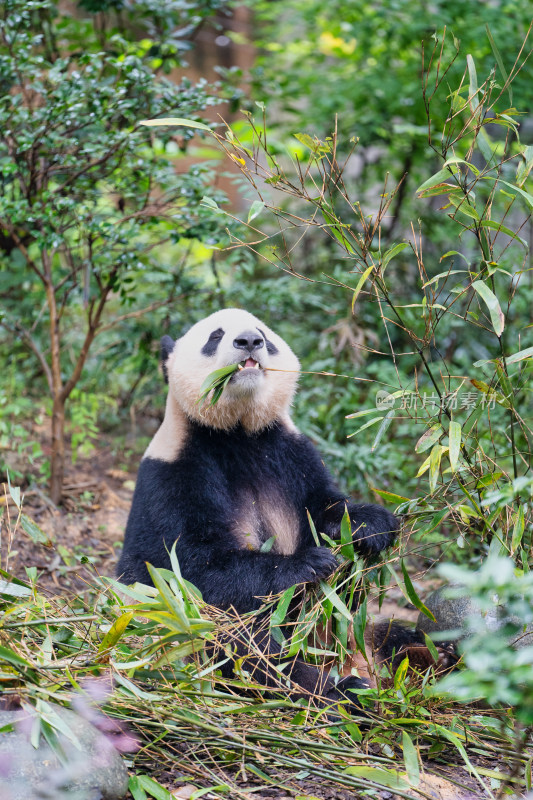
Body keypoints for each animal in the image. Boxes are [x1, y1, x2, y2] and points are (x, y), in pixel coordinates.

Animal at [116, 310, 400, 712]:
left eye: (265, 334)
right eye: (215, 336)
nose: (249, 341)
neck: (236, 432)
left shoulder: (288, 452)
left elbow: (323, 510)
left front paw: (370, 527)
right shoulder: (173, 473)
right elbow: (192, 567)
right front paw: (308, 564)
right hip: (169, 635)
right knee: (242, 650)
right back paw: (336, 692)